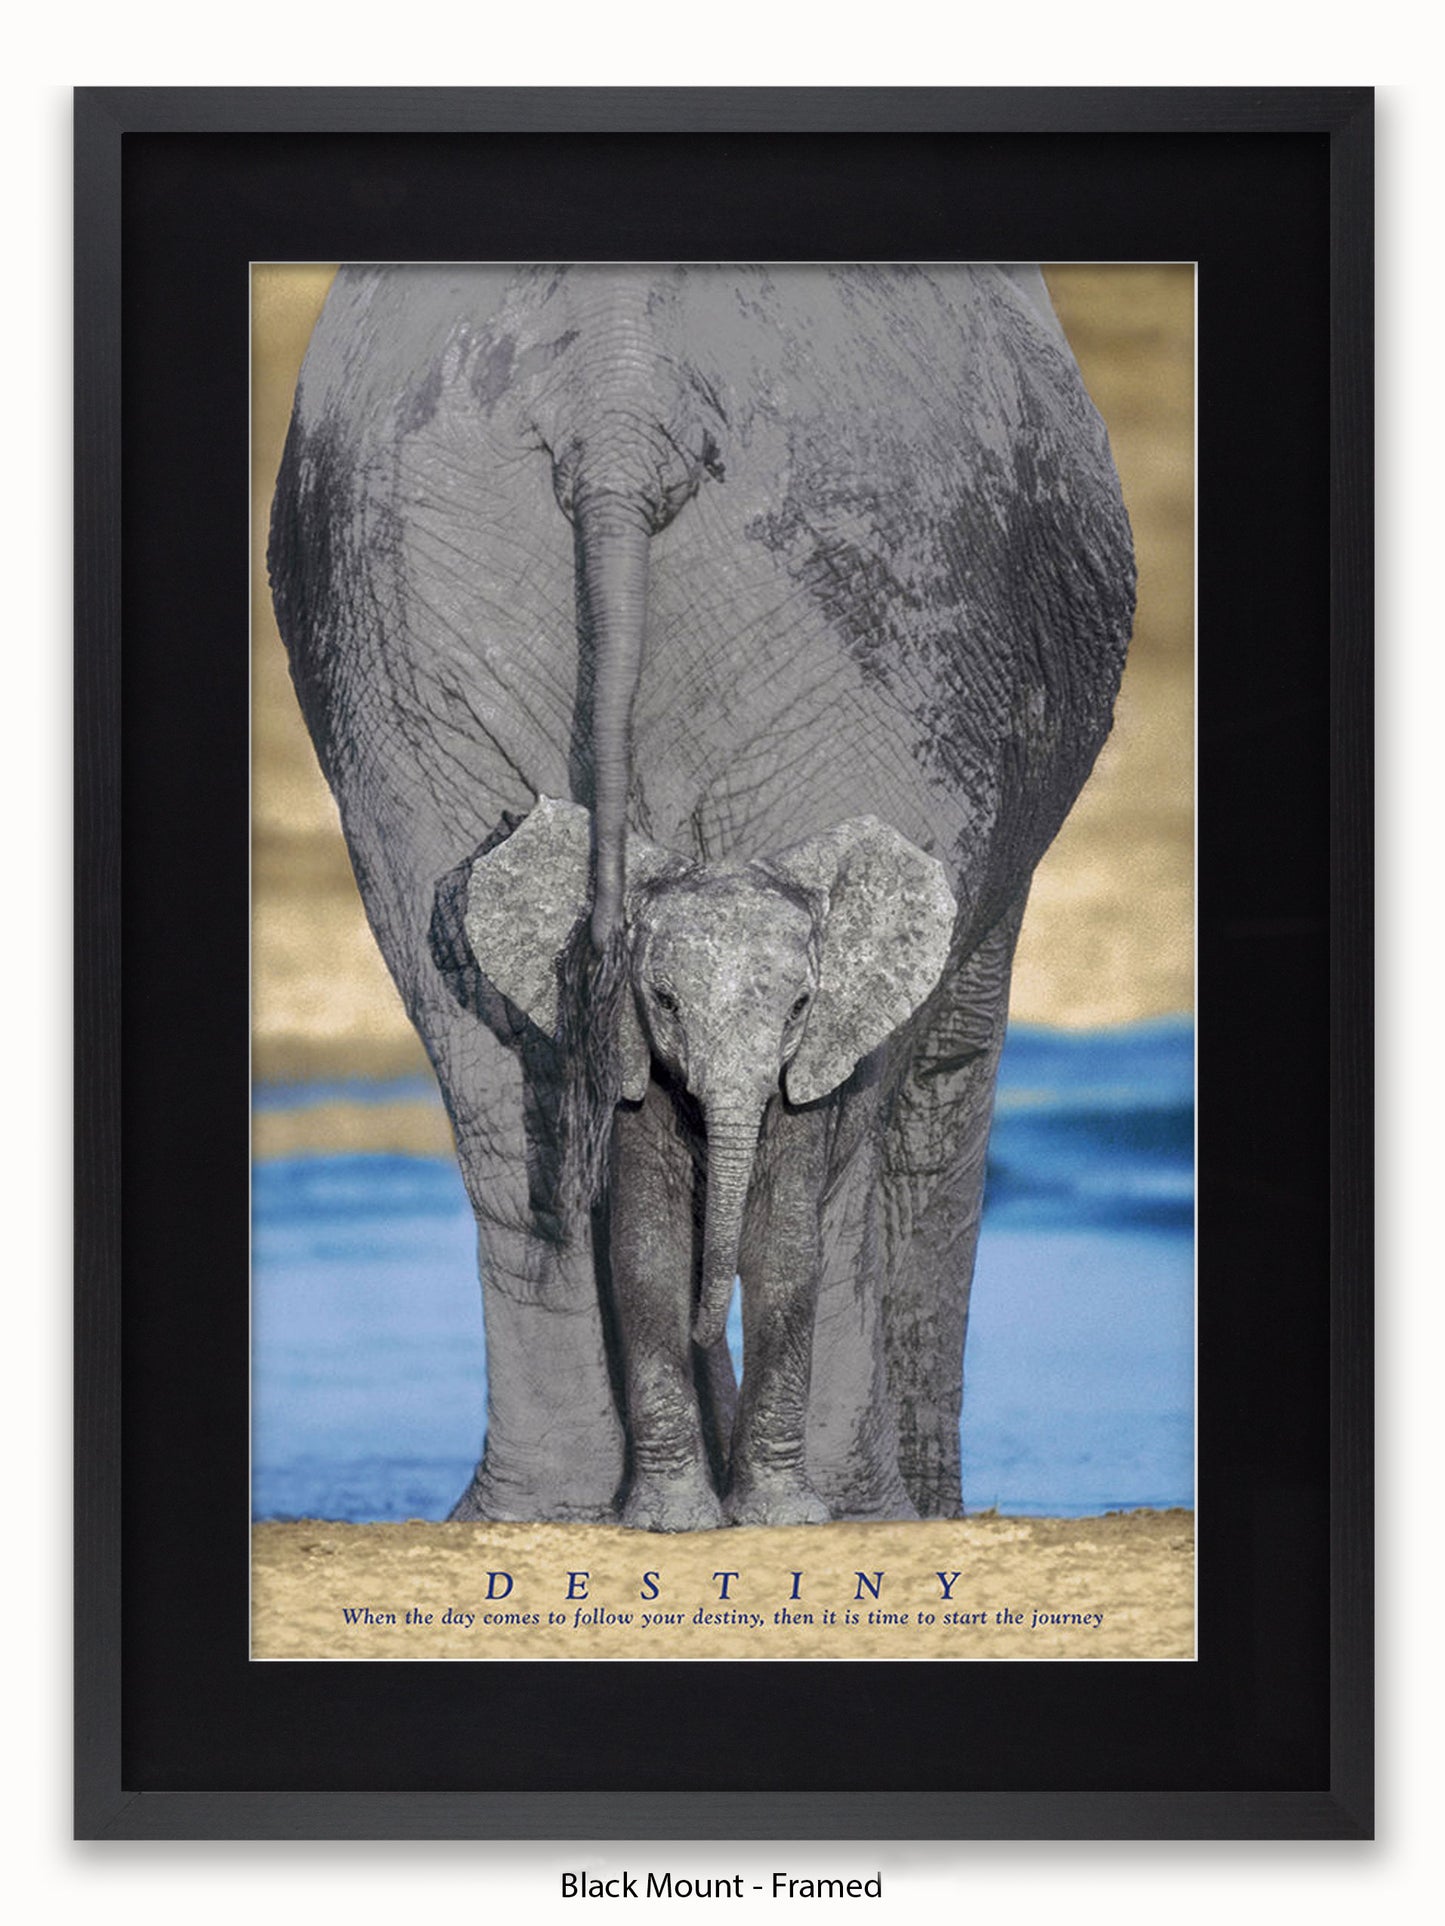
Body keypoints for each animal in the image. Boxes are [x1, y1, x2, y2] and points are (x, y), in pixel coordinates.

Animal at [268, 262, 1135, 1528]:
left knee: (493, 1086)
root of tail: (618, 397)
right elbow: (936, 1065)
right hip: (882, 608)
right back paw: (847, 1508)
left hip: (399, 625)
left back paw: (545, 1509)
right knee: (836, 1132)